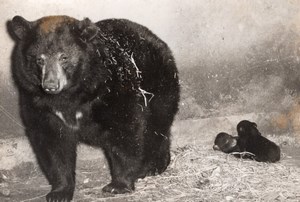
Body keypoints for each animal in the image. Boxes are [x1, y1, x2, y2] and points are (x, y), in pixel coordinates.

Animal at [8, 15, 179, 201]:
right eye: (39, 59)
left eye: (64, 57)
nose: (50, 85)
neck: (70, 96)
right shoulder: (39, 104)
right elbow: (53, 144)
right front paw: (59, 191)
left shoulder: (111, 91)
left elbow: (125, 131)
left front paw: (118, 185)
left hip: (157, 85)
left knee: (156, 126)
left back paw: (154, 165)